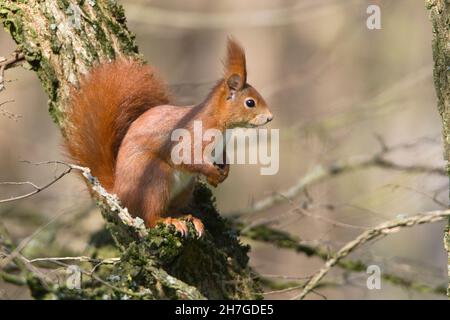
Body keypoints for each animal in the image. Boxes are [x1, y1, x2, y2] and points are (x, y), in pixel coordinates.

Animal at [65, 38, 272, 236]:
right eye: (250, 103)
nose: (270, 118)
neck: (220, 123)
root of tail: (121, 193)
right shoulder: (192, 138)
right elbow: (188, 158)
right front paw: (213, 174)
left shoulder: (220, 149)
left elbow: (223, 159)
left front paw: (223, 173)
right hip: (156, 178)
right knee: (150, 217)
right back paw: (168, 221)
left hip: (184, 188)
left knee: (170, 208)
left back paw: (187, 218)